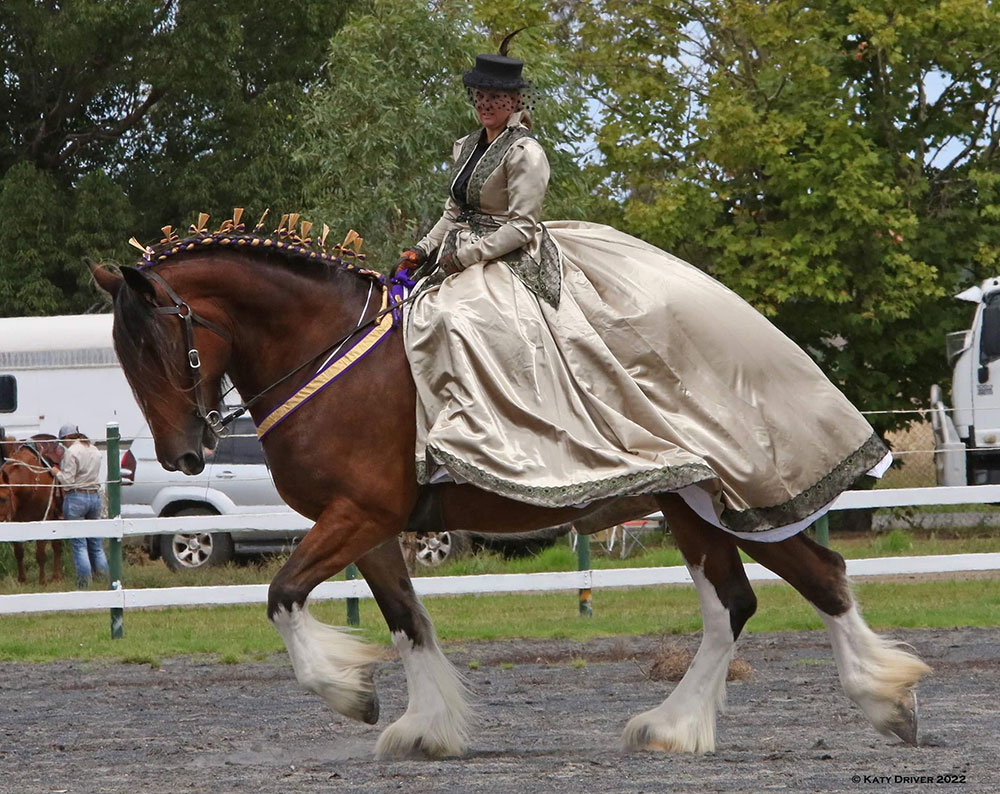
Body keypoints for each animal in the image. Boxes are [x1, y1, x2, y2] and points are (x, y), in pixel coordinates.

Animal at [0, 434, 64, 580]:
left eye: (4, 499)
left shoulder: (42, 518)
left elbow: (40, 554)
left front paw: (42, 581)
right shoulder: (15, 521)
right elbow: (18, 552)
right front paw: (22, 579)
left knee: (57, 546)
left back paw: (56, 576)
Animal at [86, 217, 928, 756]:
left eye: (160, 347)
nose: (182, 453)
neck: (330, 354)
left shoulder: (359, 513)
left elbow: (282, 594)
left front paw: (348, 692)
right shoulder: (369, 525)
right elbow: (407, 621)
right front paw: (426, 728)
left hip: (715, 500)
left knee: (794, 586)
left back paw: (860, 702)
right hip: (698, 508)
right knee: (760, 595)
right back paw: (703, 722)